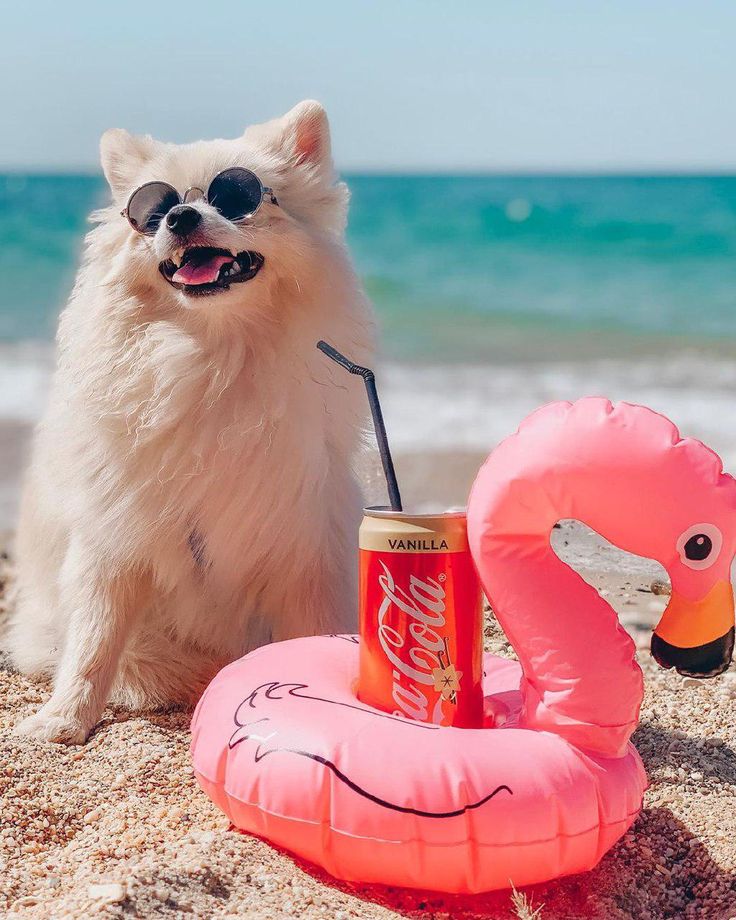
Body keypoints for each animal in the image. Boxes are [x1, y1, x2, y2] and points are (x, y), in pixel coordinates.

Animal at [8, 100, 370, 744]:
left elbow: (312, 630)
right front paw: (64, 721)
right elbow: (94, 640)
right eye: (149, 212)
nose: (178, 216)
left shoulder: (302, 545)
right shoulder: (114, 536)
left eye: (238, 196)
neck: (210, 359)